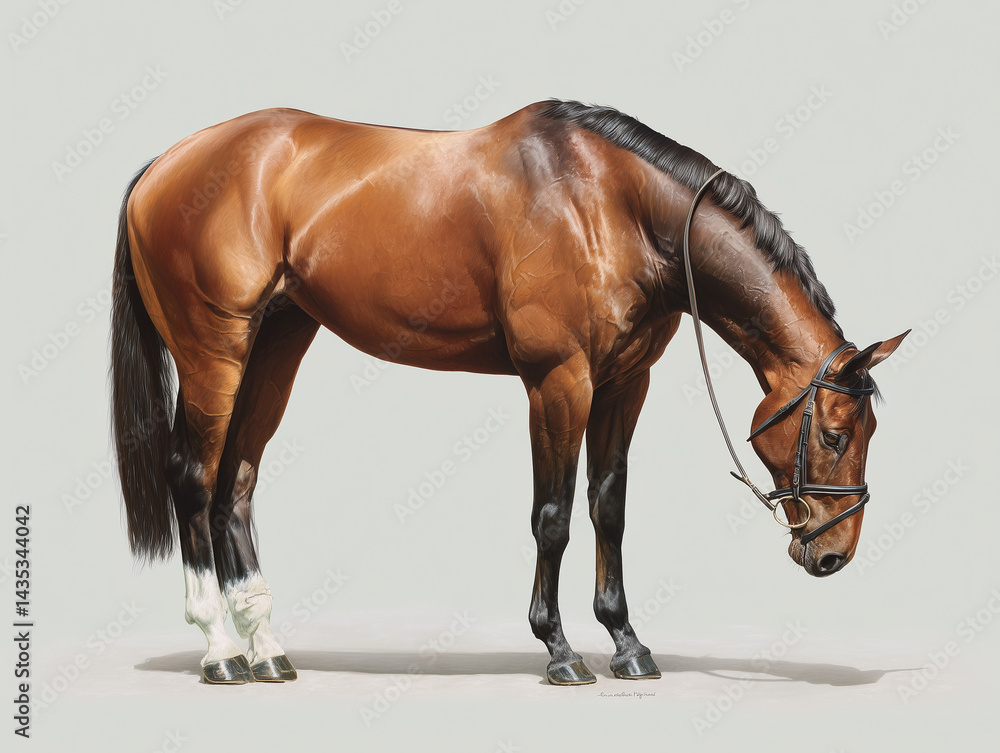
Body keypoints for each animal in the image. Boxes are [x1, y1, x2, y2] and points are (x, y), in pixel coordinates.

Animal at [110, 99, 907, 686]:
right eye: (834, 432)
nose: (834, 554)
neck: (612, 204)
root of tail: (162, 165)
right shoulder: (559, 382)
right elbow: (552, 517)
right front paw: (559, 650)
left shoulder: (625, 383)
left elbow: (609, 509)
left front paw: (627, 643)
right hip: (215, 352)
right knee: (194, 476)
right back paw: (219, 651)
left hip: (277, 344)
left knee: (236, 485)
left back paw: (267, 650)